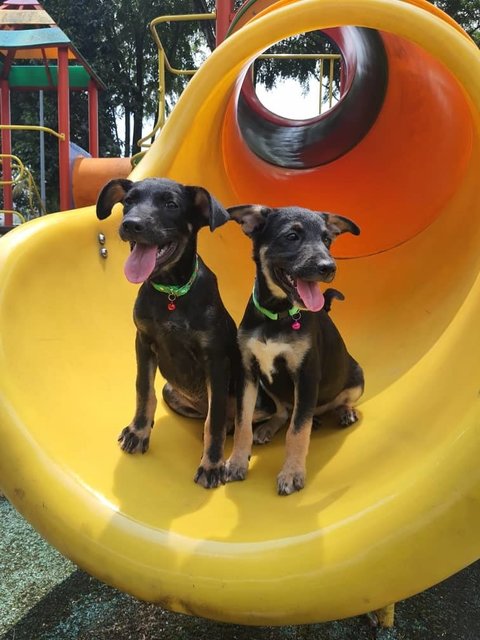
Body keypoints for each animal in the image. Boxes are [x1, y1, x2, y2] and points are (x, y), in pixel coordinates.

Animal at [94, 178, 237, 488]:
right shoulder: (143, 341)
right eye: (129, 201)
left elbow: (215, 419)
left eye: (171, 204)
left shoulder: (215, 360)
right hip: (171, 391)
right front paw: (138, 431)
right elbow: (143, 389)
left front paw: (212, 464)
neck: (172, 291)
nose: (131, 224)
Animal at [225, 205, 364, 496]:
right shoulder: (248, 373)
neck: (276, 316)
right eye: (292, 236)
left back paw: (344, 412)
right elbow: (243, 423)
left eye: (327, 240)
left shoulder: (306, 376)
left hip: (357, 376)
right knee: (284, 411)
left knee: (332, 404)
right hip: (268, 386)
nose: (329, 268)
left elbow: (298, 431)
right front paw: (236, 462)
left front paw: (291, 474)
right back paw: (268, 428)